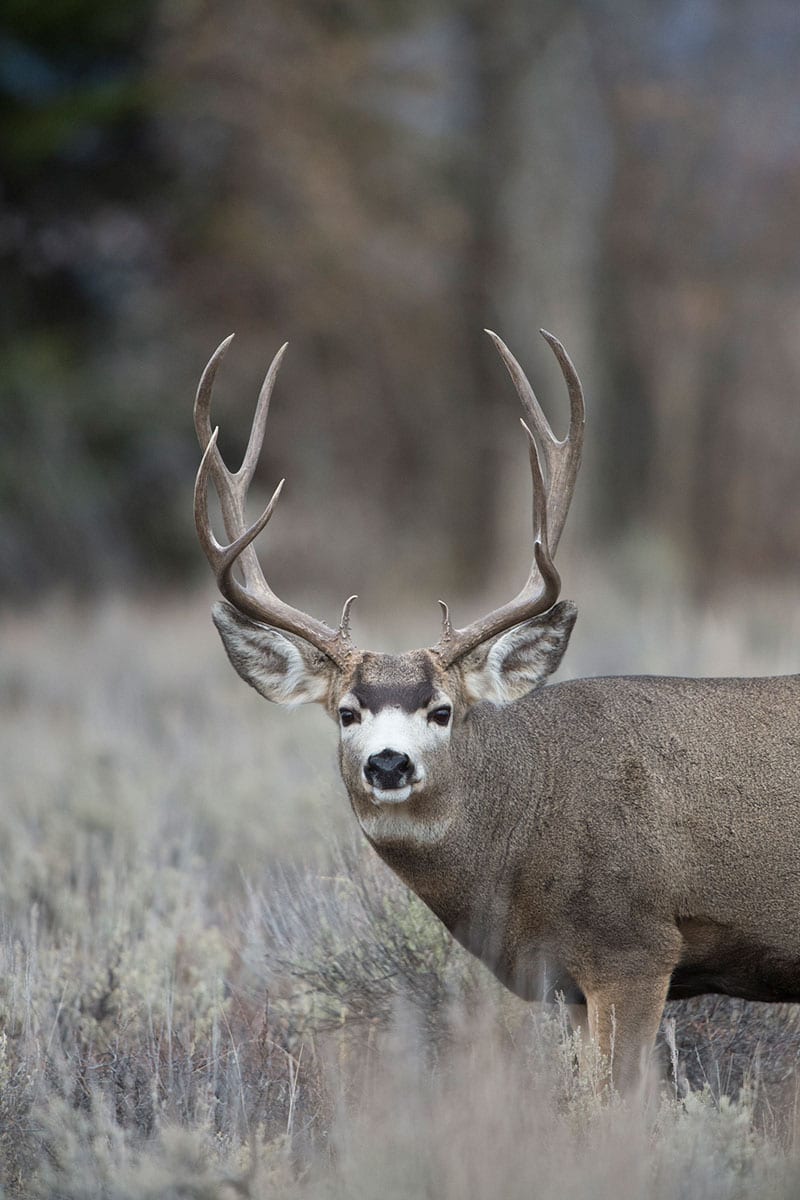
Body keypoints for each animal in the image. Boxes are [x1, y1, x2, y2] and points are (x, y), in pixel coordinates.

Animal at [193, 329, 800, 1092]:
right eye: (348, 712)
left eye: (442, 711)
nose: (388, 764)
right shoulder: (568, 982)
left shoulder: (636, 944)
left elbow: (618, 1099)